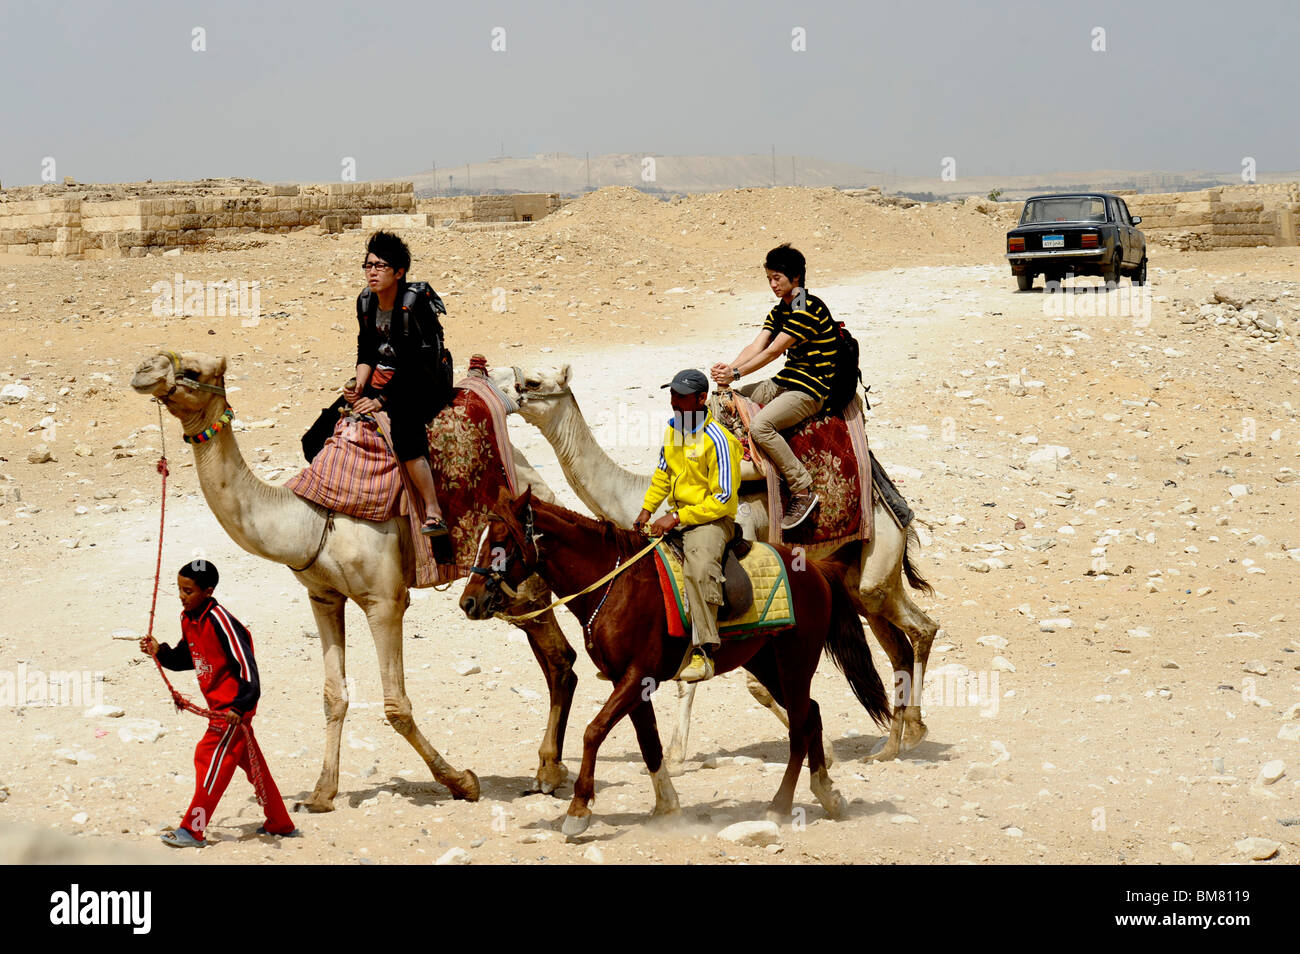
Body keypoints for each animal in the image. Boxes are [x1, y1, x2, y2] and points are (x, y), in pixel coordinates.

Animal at [133, 348, 579, 811]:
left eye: (192, 370)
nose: (144, 369)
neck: (311, 519)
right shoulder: (323, 597)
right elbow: (334, 696)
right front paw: (320, 793)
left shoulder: (384, 600)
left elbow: (396, 705)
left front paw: (462, 782)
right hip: (505, 592)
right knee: (552, 656)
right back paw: (550, 768)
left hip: (523, 576)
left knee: (560, 659)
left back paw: (547, 773)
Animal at [460, 493, 894, 837]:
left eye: (499, 543)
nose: (468, 601)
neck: (614, 585)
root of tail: (816, 571)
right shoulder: (629, 681)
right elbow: (648, 742)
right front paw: (667, 808)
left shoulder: (637, 676)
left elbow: (593, 732)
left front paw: (579, 810)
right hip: (767, 664)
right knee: (813, 716)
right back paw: (827, 794)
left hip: (794, 663)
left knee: (801, 727)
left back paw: (781, 806)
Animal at [491, 363, 941, 769]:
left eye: (533, 381)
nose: (503, 392)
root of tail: (889, 497)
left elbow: (743, 682)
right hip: (859, 576)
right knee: (899, 644)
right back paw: (890, 747)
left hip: (878, 560)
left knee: (922, 629)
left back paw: (914, 732)